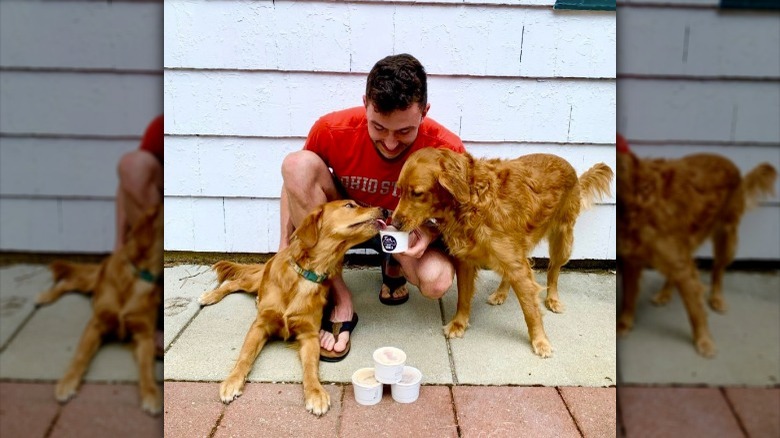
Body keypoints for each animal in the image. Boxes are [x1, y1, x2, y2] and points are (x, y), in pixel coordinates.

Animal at [37, 205, 165, 414]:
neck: (137, 276)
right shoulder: (96, 324)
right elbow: (80, 355)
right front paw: (67, 382)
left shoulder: (145, 335)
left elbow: (147, 366)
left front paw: (151, 393)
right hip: (89, 281)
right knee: (68, 282)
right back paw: (44, 297)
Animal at [209, 200, 386, 416]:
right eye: (350, 205)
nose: (385, 210)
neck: (308, 274)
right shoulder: (259, 325)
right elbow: (245, 356)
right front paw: (232, 381)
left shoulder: (310, 335)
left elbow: (310, 367)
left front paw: (315, 393)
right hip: (254, 281)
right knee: (235, 282)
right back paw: (210, 296)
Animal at [394, 149, 612, 358]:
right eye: (399, 190)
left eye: (417, 193)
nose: (394, 223)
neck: (472, 201)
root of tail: (569, 166)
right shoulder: (466, 261)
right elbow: (463, 297)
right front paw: (459, 323)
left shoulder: (516, 265)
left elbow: (530, 310)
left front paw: (540, 341)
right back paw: (501, 293)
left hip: (562, 241)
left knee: (553, 270)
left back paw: (553, 299)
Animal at [620, 150, 776, 356]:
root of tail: (731, 164)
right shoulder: (631, 260)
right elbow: (628, 297)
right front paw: (623, 325)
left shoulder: (679, 264)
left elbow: (695, 309)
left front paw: (704, 340)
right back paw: (664, 293)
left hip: (726, 238)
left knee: (718, 270)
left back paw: (717, 298)